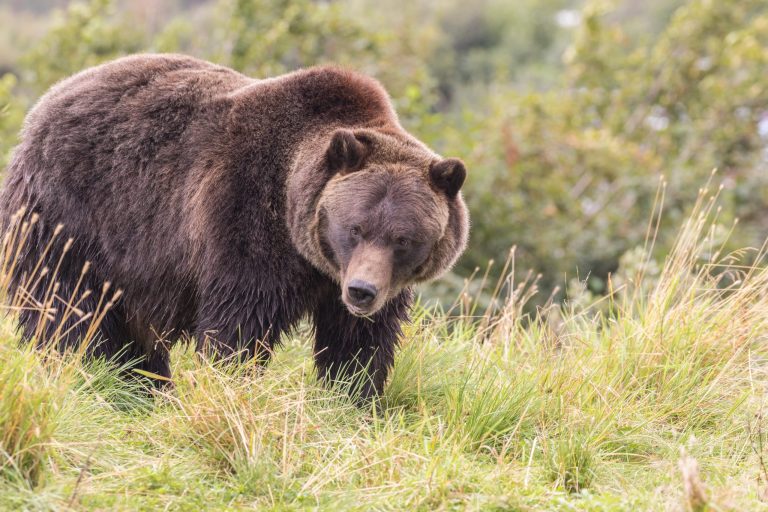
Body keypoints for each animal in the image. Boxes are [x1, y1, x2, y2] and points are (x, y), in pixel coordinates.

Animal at [0, 54, 469, 400]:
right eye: (354, 228)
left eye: (403, 239)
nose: (361, 291)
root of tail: (41, 109)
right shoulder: (245, 221)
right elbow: (240, 325)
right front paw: (231, 386)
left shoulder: (373, 283)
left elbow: (359, 343)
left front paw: (353, 397)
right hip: (73, 219)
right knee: (66, 309)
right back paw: (88, 374)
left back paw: (145, 389)